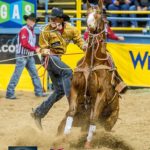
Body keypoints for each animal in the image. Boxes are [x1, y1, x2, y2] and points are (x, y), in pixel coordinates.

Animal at [57, 0, 120, 148]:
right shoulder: (75, 88)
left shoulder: (101, 94)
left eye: (99, 13)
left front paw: (88, 144)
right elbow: (71, 112)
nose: (90, 27)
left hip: (110, 120)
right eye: (87, 14)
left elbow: (93, 118)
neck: (92, 64)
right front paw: (64, 139)